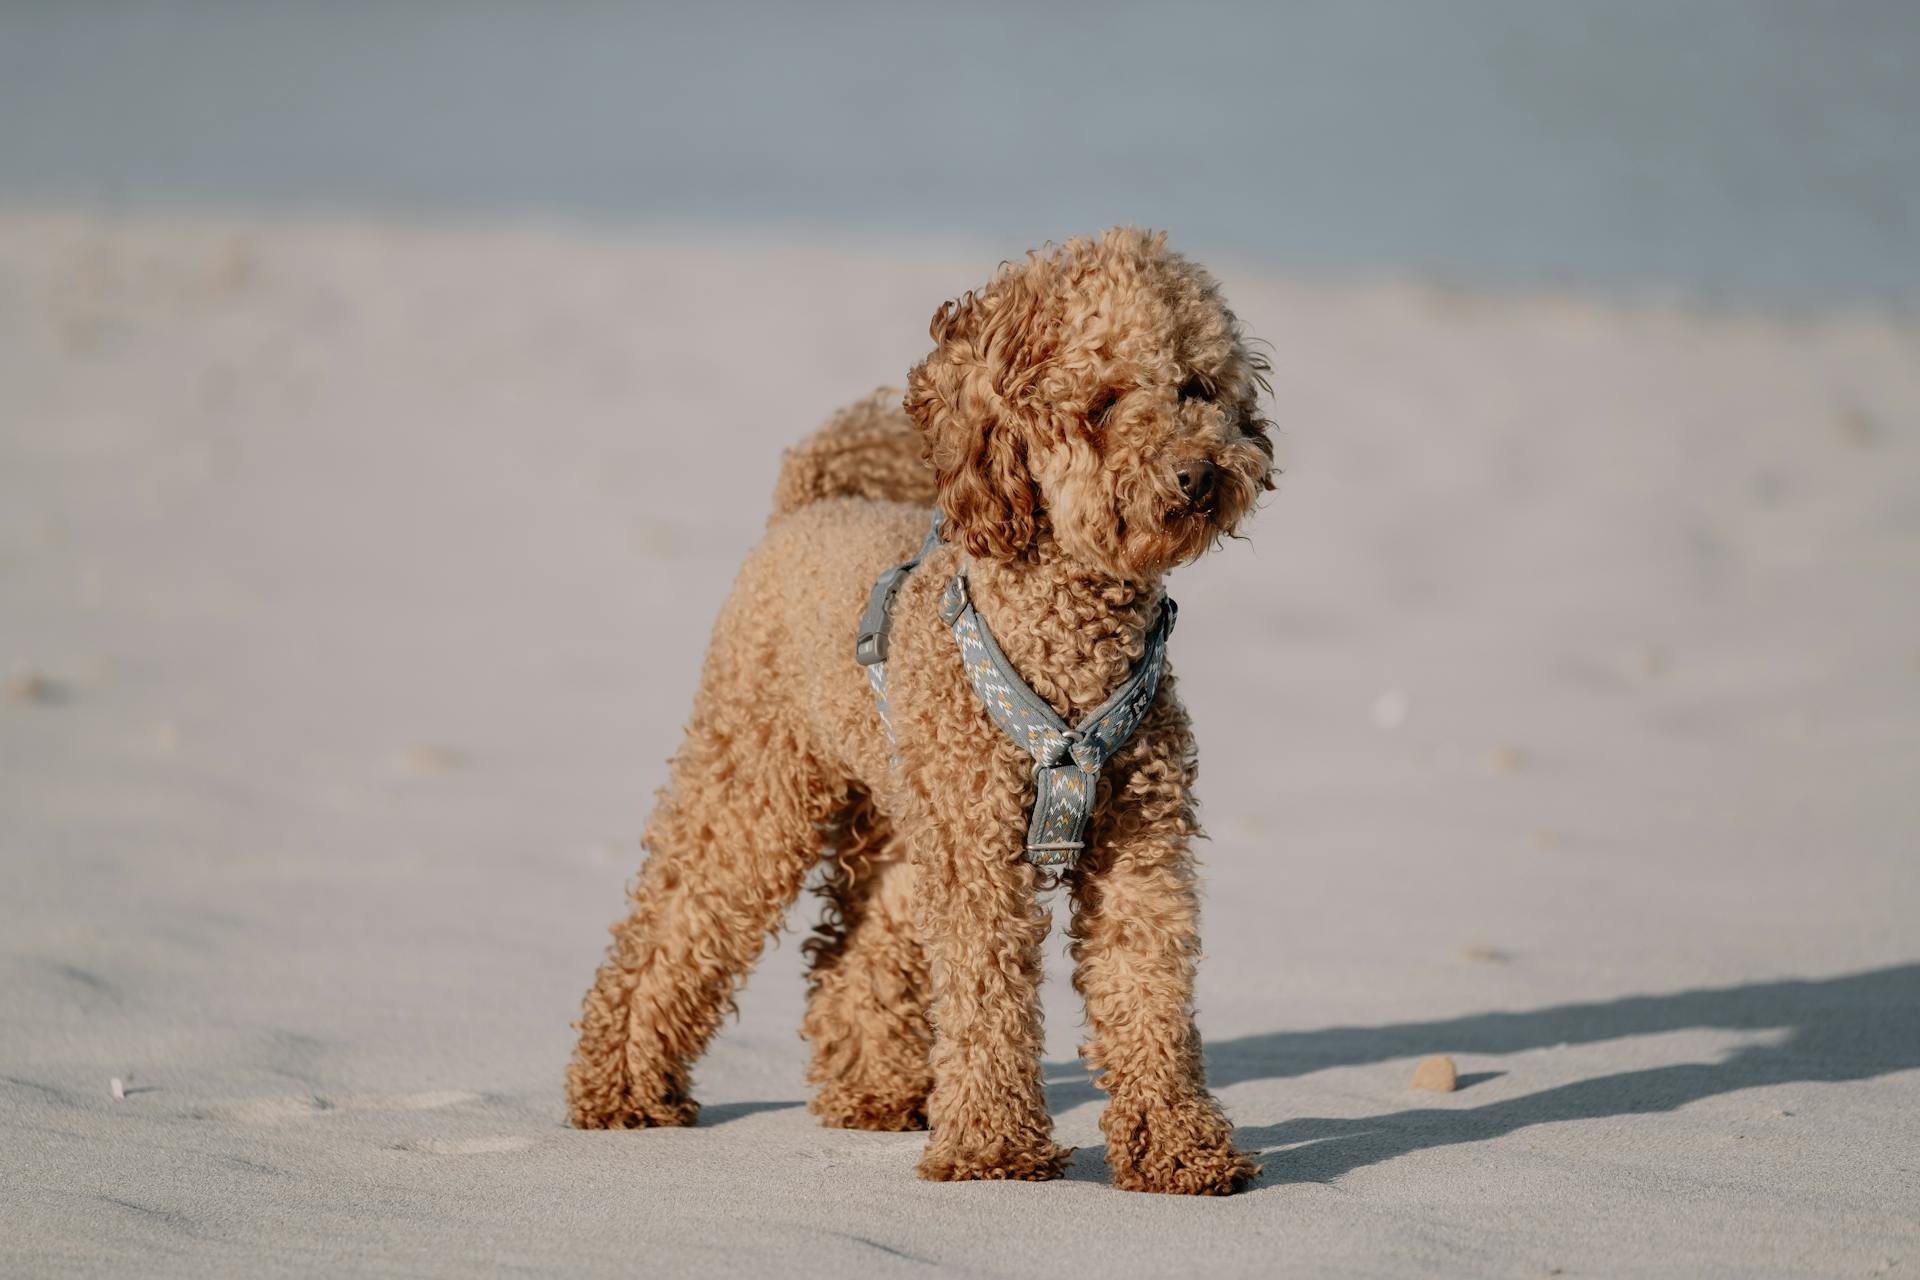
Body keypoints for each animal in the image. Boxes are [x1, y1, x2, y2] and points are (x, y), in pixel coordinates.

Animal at [564, 225, 1274, 1197]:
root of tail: (815, 503)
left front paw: (1178, 1147)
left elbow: (1148, 989)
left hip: (904, 818)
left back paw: (873, 1092)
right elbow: (985, 992)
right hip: (757, 779)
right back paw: (621, 1089)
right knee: (678, 916)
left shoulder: (1140, 843)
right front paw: (996, 1152)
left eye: (1196, 388)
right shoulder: (977, 853)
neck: (1067, 650)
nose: (1198, 474)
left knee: (856, 948)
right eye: (1100, 403)